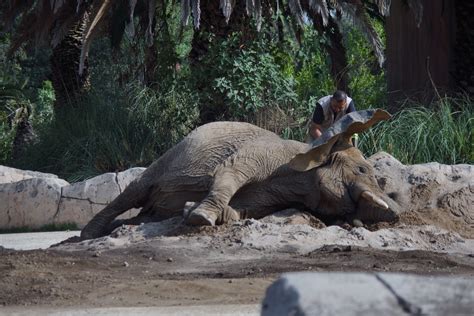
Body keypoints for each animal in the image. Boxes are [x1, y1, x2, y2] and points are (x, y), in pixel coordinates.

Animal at [80, 108, 400, 239]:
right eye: (363, 169)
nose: (397, 215)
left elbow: (247, 209)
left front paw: (192, 210)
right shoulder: (265, 153)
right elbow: (228, 171)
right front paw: (200, 217)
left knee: (145, 215)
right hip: (166, 158)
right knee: (134, 191)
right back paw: (89, 235)